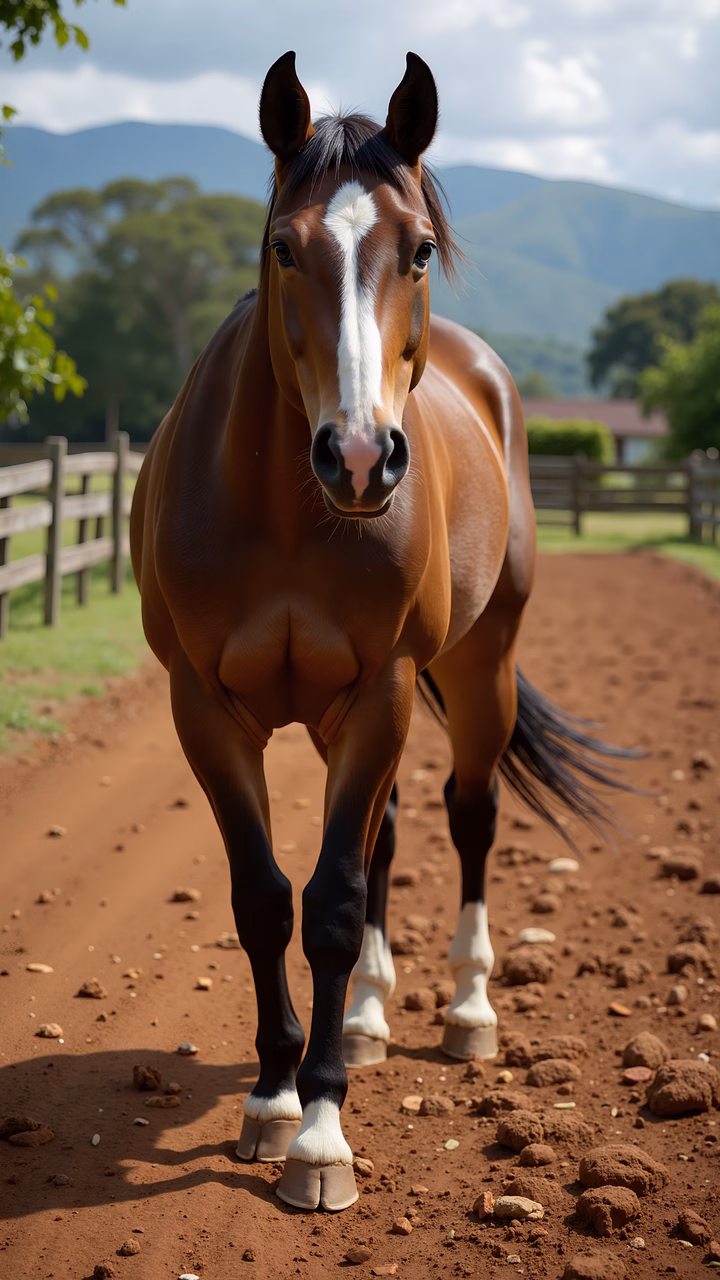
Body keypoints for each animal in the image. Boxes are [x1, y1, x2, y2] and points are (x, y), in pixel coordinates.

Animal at [130, 51, 630, 1212]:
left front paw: (320, 1135)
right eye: (283, 244)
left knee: (467, 816)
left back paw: (465, 1010)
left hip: (478, 670)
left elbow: (333, 898)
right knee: (389, 834)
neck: (285, 512)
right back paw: (360, 1016)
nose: (361, 457)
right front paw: (275, 1096)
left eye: (419, 248)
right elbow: (268, 898)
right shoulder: (204, 705)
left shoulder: (384, 687)